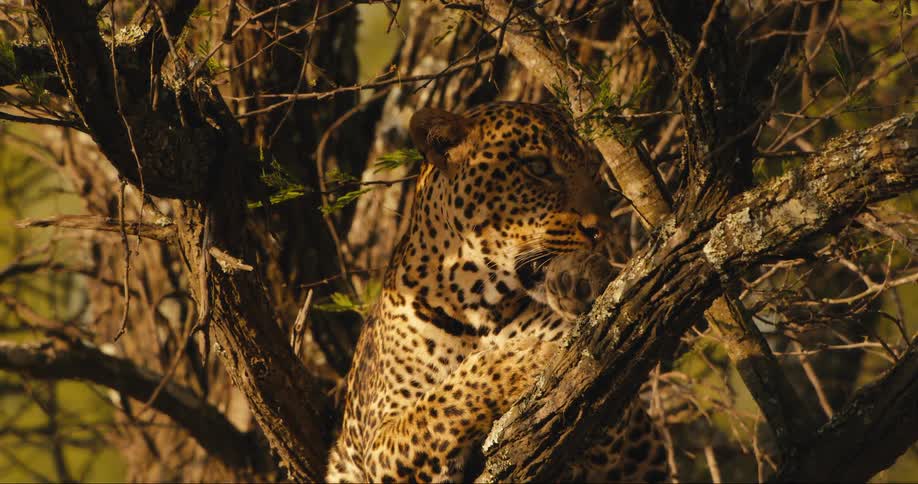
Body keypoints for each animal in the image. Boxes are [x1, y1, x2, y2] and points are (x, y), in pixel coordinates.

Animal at [326, 101, 669, 483]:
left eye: (594, 174)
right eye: (538, 167)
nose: (602, 230)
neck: (478, 302)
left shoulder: (623, 434)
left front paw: (581, 282)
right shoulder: (380, 442)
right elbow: (447, 399)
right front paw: (530, 355)